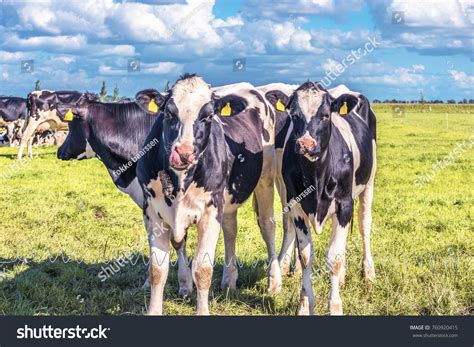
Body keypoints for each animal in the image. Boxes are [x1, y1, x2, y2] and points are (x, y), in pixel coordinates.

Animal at [136, 73, 282, 316]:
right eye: (169, 113)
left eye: (208, 116)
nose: (183, 153)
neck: (180, 180)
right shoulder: (153, 213)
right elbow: (157, 269)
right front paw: (154, 310)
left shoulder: (210, 211)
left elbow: (203, 269)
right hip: (228, 200)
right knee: (231, 231)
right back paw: (229, 281)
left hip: (265, 181)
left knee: (267, 227)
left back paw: (274, 281)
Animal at [282, 81, 378, 316]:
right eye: (294, 115)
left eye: (325, 115)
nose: (306, 144)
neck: (316, 174)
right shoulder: (295, 205)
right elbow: (305, 255)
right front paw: (304, 305)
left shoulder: (344, 204)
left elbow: (333, 257)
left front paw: (335, 306)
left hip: (368, 184)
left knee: (364, 225)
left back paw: (369, 273)